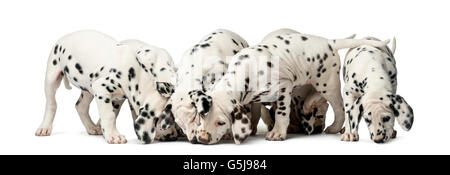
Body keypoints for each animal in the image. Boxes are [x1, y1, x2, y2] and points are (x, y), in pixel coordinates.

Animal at [34, 30, 178, 144]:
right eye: (161, 121)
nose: (172, 136)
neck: (137, 71)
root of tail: (65, 36)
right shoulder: (102, 88)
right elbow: (109, 116)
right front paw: (113, 136)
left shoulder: (119, 97)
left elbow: (116, 113)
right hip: (51, 78)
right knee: (51, 104)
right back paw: (45, 127)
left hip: (88, 88)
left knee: (80, 106)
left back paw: (92, 127)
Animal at [193, 28, 390, 144]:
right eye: (202, 116)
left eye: (221, 122)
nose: (201, 139)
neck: (246, 71)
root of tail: (330, 41)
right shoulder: (253, 98)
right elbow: (256, 112)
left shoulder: (283, 87)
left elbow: (281, 112)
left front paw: (277, 133)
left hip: (327, 84)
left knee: (340, 108)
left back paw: (335, 127)